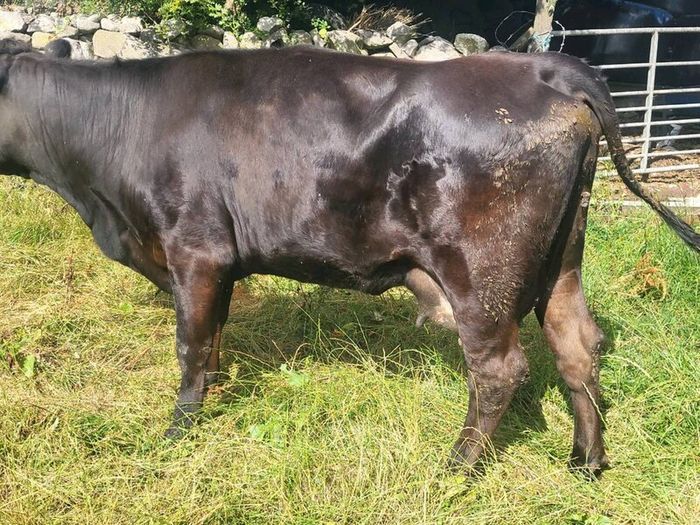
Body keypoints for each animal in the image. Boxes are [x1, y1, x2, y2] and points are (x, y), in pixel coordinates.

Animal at [1, 39, 698, 477]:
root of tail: (545, 69)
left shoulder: (195, 248)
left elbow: (192, 343)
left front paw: (177, 432)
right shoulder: (214, 263)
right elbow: (216, 334)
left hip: (482, 272)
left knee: (500, 369)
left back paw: (455, 469)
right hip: (562, 256)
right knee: (576, 343)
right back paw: (587, 461)